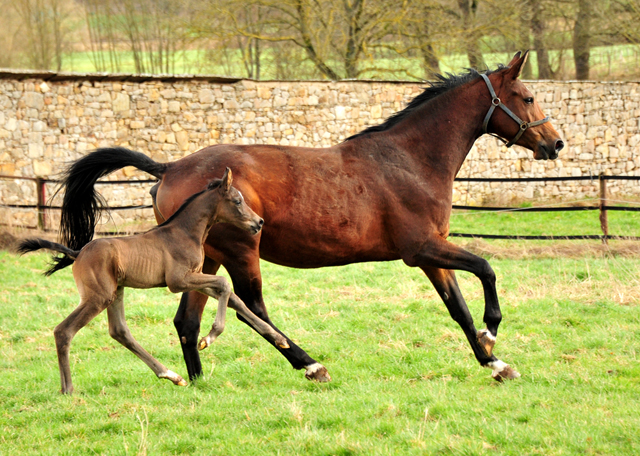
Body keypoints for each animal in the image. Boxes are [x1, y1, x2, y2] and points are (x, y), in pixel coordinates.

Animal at [18, 169, 290, 394]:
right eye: (237, 201)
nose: (259, 222)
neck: (185, 232)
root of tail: (78, 253)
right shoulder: (178, 281)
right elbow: (224, 283)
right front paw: (209, 338)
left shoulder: (195, 277)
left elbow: (233, 297)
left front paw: (280, 339)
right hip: (98, 297)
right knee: (64, 330)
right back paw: (68, 389)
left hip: (116, 292)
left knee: (119, 331)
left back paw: (172, 375)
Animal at [56, 51, 564, 382]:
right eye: (526, 96)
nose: (555, 143)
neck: (411, 159)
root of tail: (170, 168)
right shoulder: (421, 249)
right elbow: (486, 268)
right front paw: (491, 333)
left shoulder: (432, 254)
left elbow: (456, 306)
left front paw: (494, 362)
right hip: (241, 250)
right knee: (249, 306)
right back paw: (309, 364)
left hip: (203, 257)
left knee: (188, 320)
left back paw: (196, 380)